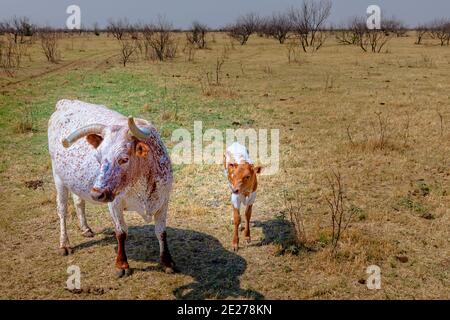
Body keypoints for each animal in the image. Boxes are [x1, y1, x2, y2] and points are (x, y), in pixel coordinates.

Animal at [48, 99, 175, 276]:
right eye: (98, 157)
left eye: (124, 159)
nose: (97, 194)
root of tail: (65, 102)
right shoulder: (114, 204)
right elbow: (121, 232)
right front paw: (122, 265)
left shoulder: (163, 201)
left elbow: (161, 232)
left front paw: (167, 262)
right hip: (58, 177)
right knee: (62, 211)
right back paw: (64, 244)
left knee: (79, 201)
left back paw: (85, 228)